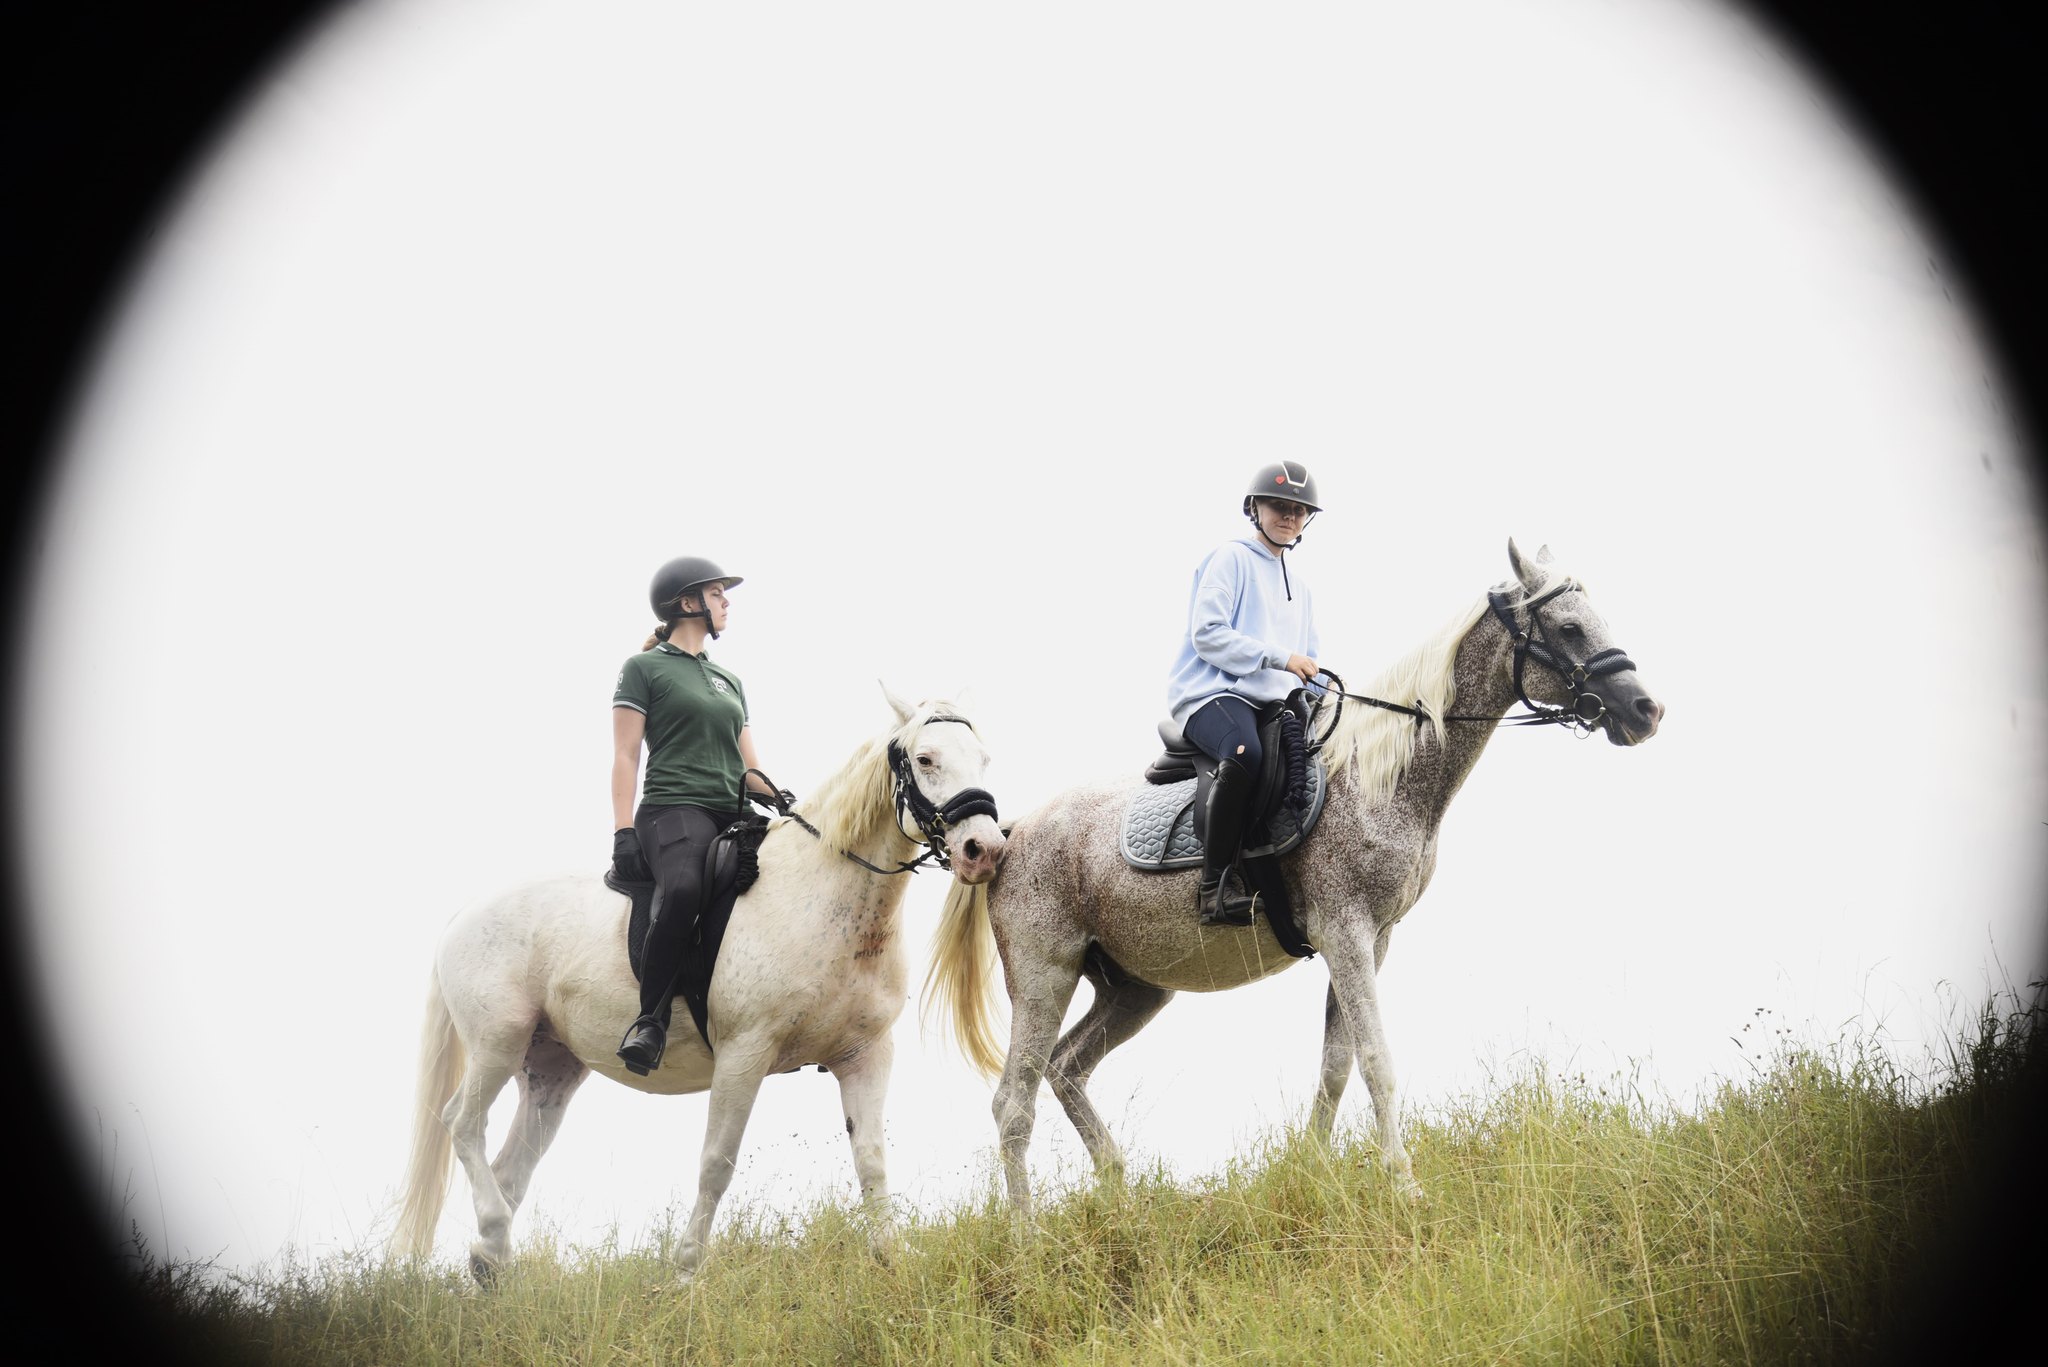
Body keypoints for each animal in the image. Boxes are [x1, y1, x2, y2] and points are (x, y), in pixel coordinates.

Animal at [395, 687, 1006, 1283]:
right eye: (925, 760)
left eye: (983, 759)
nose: (984, 850)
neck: (825, 893)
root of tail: (467, 912)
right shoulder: (744, 1053)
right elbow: (717, 1163)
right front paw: (687, 1272)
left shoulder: (865, 1054)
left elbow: (872, 1159)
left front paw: (892, 1259)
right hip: (498, 1041)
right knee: (461, 1124)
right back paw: (495, 1239)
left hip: (551, 1068)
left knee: (509, 1166)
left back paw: (491, 1260)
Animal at [925, 541, 1663, 1217]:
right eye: (1568, 628)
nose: (1646, 710)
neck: (1376, 774)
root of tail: (1010, 833)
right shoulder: (1347, 932)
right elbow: (1376, 1060)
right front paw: (1405, 1184)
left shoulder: (1371, 939)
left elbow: (1337, 1064)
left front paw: (1314, 1169)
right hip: (1044, 975)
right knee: (1013, 1103)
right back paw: (1027, 1234)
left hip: (1134, 989)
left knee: (1066, 1066)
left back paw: (1118, 1189)